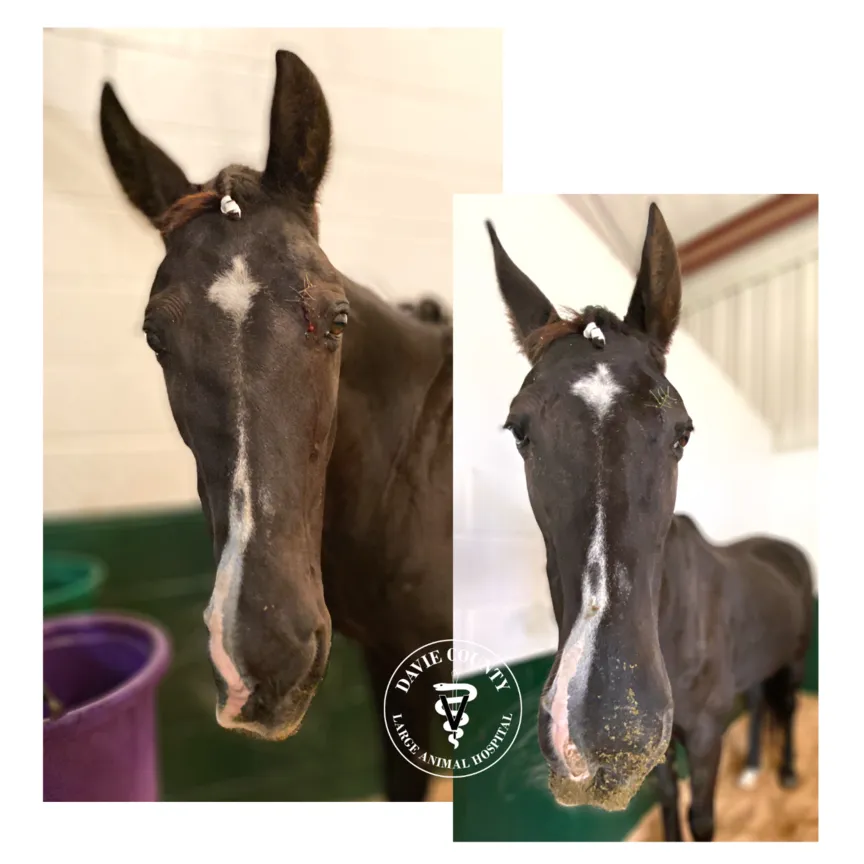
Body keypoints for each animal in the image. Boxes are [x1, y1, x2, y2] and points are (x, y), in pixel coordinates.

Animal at [484, 203, 813, 839]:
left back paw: (784, 771)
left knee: (784, 705)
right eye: (519, 430)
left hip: (793, 656)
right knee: (763, 703)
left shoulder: (705, 736)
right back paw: (753, 767)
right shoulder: (661, 757)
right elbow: (666, 802)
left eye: (682, 431)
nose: (606, 727)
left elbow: (701, 818)